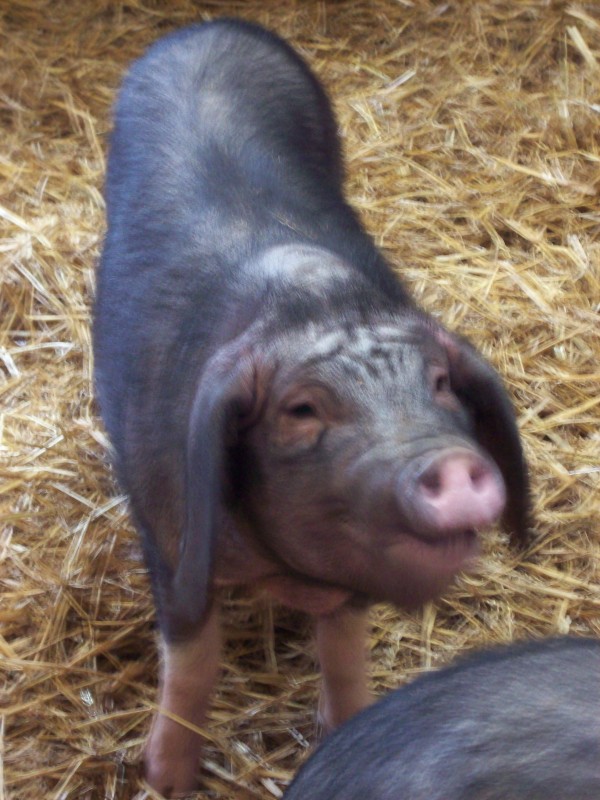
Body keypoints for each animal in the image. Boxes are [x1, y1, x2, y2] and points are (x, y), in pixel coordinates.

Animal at [93, 18, 529, 796]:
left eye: (439, 384)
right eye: (300, 410)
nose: (447, 463)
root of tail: (209, 25)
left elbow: (346, 648)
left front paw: (346, 728)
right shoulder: (168, 531)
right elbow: (193, 659)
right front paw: (165, 778)